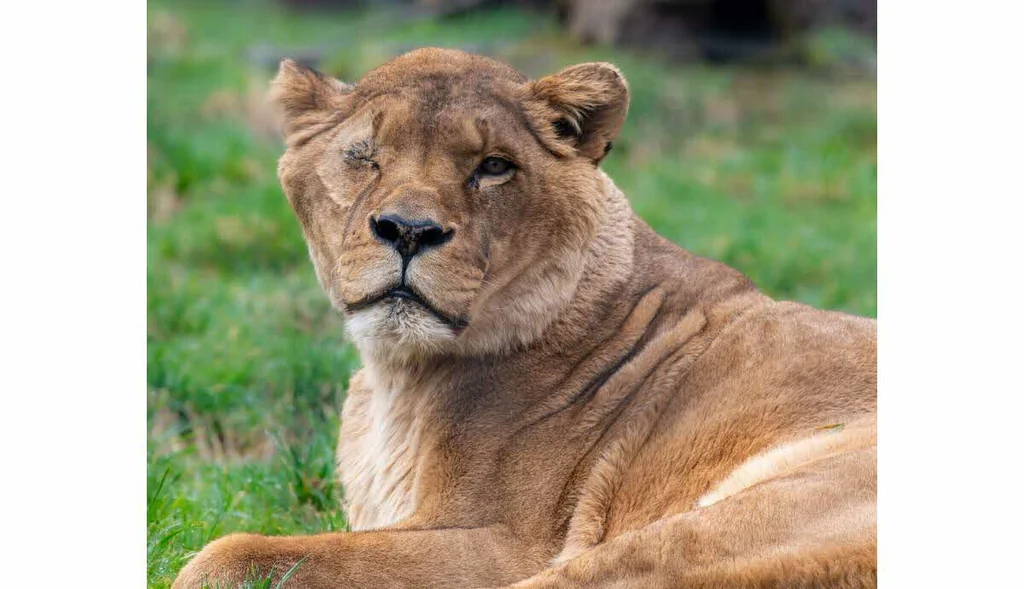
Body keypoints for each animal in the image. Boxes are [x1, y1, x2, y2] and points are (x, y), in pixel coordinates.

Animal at [173, 48, 876, 588]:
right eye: (364, 155)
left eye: (493, 166)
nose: (408, 230)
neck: (396, 376)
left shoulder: (502, 543)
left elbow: (230, 554)